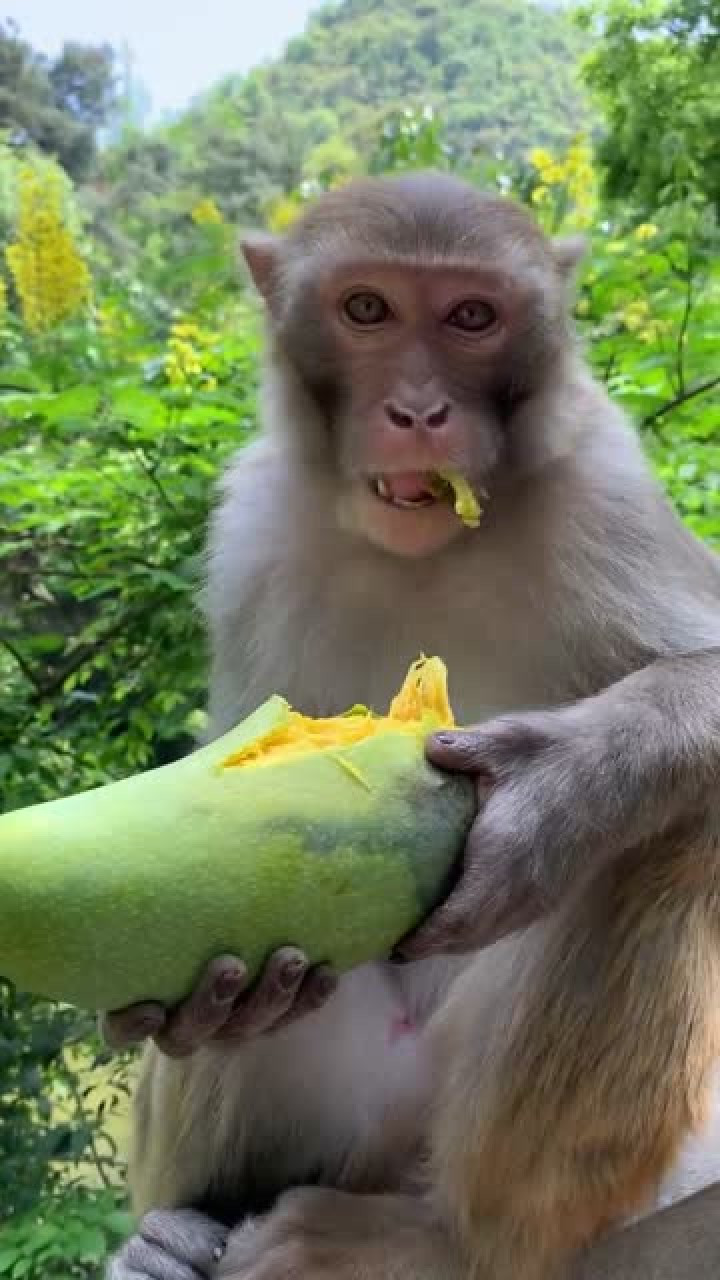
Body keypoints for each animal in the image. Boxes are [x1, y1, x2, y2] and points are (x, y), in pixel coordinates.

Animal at [103, 175, 717, 1280]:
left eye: (472, 316)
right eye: (367, 309)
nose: (420, 410)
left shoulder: (607, 491)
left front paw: (551, 798)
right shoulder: (250, 527)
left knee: (665, 831)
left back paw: (439, 1240)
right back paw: (182, 1227)